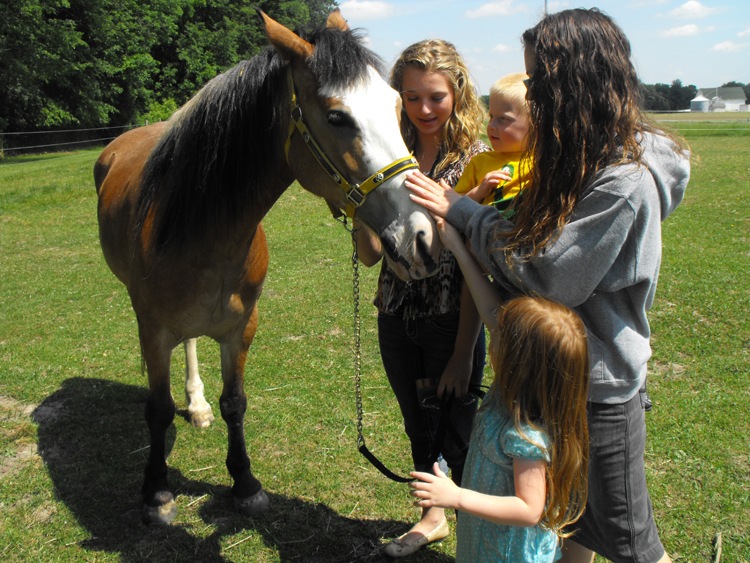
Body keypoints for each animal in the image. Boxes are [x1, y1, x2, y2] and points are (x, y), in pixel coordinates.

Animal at [94, 9, 441, 525]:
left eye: (398, 105)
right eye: (337, 116)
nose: (422, 236)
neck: (202, 234)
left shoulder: (243, 327)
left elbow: (235, 402)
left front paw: (244, 481)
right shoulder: (152, 329)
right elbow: (157, 410)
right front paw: (156, 492)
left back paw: (197, 404)